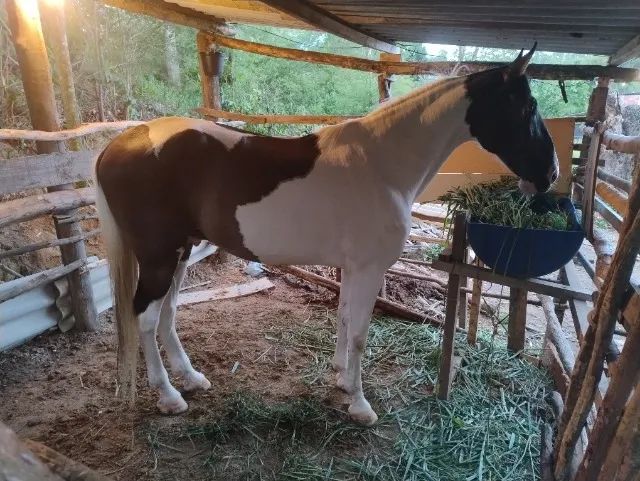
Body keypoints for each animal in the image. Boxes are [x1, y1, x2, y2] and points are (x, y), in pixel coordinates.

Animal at [95, 44, 558, 425]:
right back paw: (168, 397)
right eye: (528, 106)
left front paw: (341, 380)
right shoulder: (370, 269)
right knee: (146, 317)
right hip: (159, 256)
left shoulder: (353, 269)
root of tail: (119, 144)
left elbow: (344, 319)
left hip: (181, 252)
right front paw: (360, 405)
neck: (383, 165)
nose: (550, 175)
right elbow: (359, 333)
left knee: (167, 314)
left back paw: (190, 379)